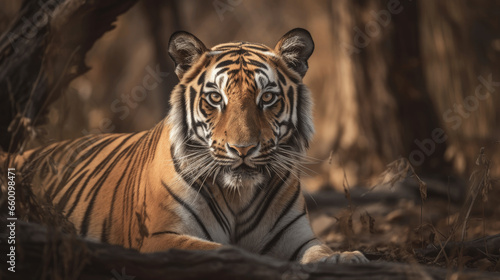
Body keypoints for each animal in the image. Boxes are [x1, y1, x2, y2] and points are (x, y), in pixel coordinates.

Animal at [0, 29, 368, 264]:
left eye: (267, 98)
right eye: (215, 98)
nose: (243, 149)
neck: (239, 195)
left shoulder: (296, 238)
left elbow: (320, 252)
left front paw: (347, 258)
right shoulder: (162, 237)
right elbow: (225, 250)